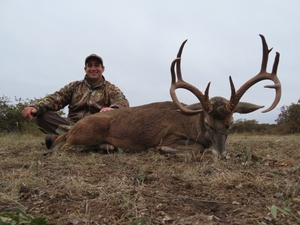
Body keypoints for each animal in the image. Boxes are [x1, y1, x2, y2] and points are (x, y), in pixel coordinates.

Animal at [48, 34, 280, 155]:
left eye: (230, 124)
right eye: (207, 123)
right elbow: (196, 148)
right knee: (66, 147)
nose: (220, 153)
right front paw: (163, 150)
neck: (191, 124)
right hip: (89, 129)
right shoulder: (168, 135)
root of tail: (71, 129)